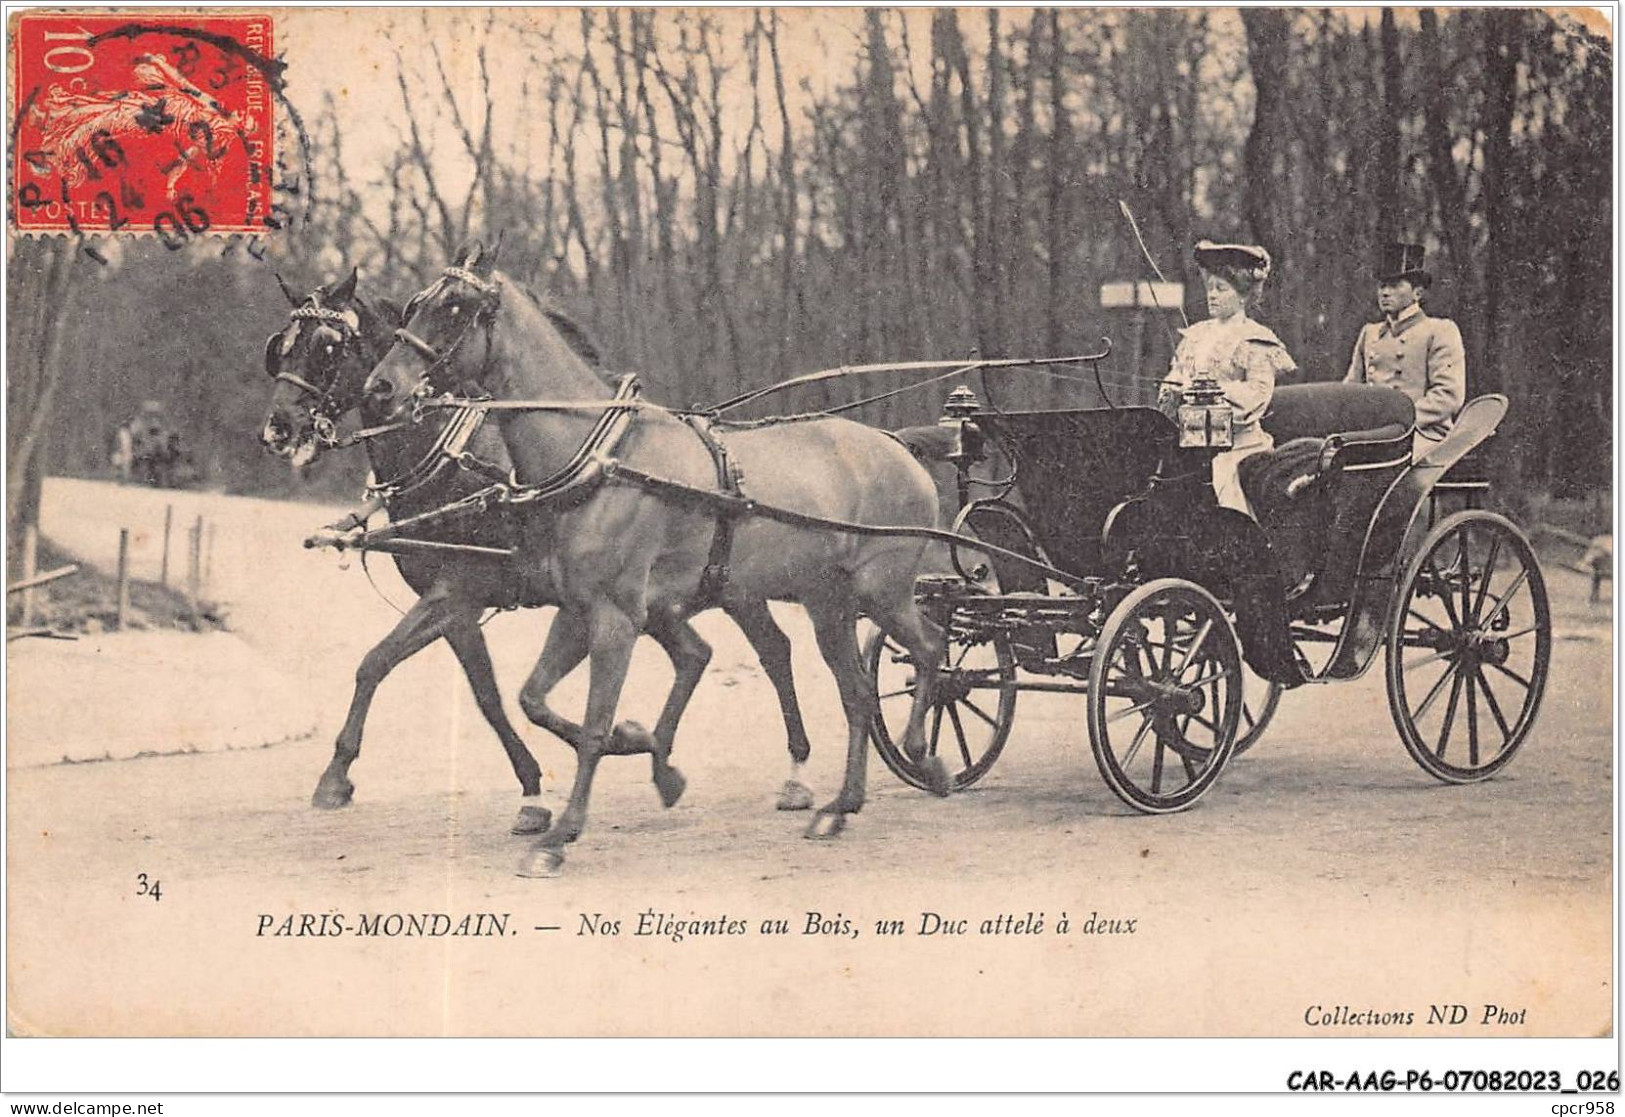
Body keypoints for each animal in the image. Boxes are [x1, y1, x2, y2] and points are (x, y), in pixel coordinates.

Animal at [263, 266, 825, 832]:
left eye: (327, 346)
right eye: (281, 347)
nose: (278, 429)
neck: (451, 459)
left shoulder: (459, 592)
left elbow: (386, 665)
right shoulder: (458, 605)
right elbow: (472, 692)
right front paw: (536, 785)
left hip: (732, 586)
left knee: (773, 651)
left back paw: (795, 773)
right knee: (695, 654)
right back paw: (660, 755)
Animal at [365, 247, 949, 871]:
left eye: (455, 308)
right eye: (415, 304)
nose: (381, 387)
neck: (601, 458)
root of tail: (897, 446)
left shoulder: (616, 616)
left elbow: (594, 724)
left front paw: (561, 834)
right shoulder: (575, 610)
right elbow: (533, 699)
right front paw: (637, 748)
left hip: (880, 591)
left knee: (929, 648)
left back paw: (923, 754)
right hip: (827, 604)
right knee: (858, 693)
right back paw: (841, 807)